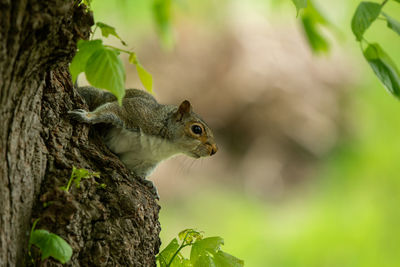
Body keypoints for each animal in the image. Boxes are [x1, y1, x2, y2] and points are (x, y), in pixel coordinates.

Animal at [69, 87, 219, 198]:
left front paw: (147, 182)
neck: (167, 145)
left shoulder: (147, 160)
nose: (214, 150)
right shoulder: (135, 112)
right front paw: (88, 116)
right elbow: (111, 110)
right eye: (197, 129)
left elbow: (138, 171)